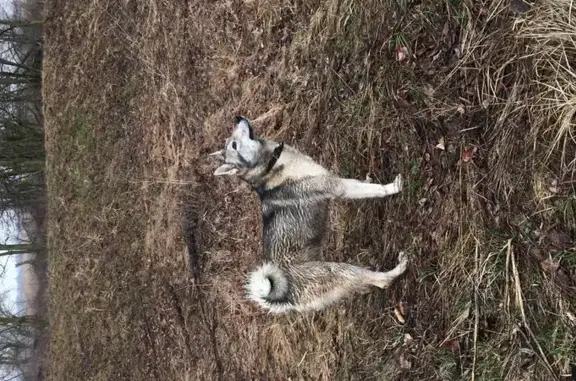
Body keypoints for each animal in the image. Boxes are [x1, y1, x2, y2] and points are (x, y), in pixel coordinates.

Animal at [209, 115, 408, 312]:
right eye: (234, 145)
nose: (237, 118)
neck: (270, 166)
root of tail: (284, 297)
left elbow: (362, 184)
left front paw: (368, 179)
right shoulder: (338, 187)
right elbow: (375, 190)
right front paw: (393, 187)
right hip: (339, 270)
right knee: (382, 281)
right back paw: (399, 267)